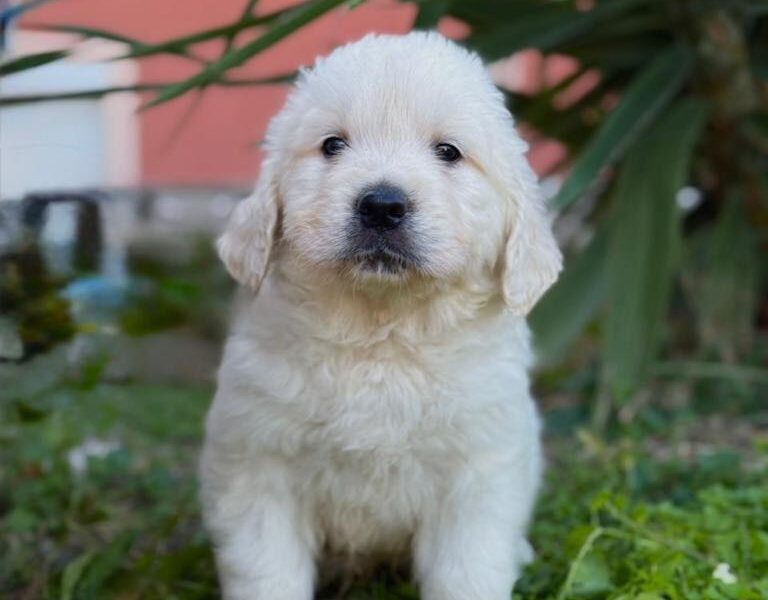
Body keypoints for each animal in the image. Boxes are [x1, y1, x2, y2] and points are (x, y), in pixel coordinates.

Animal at [202, 32, 564, 600]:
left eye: (448, 151)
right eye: (332, 145)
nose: (382, 205)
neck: (382, 334)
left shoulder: (476, 477)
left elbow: (467, 571)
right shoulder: (259, 467)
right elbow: (266, 569)